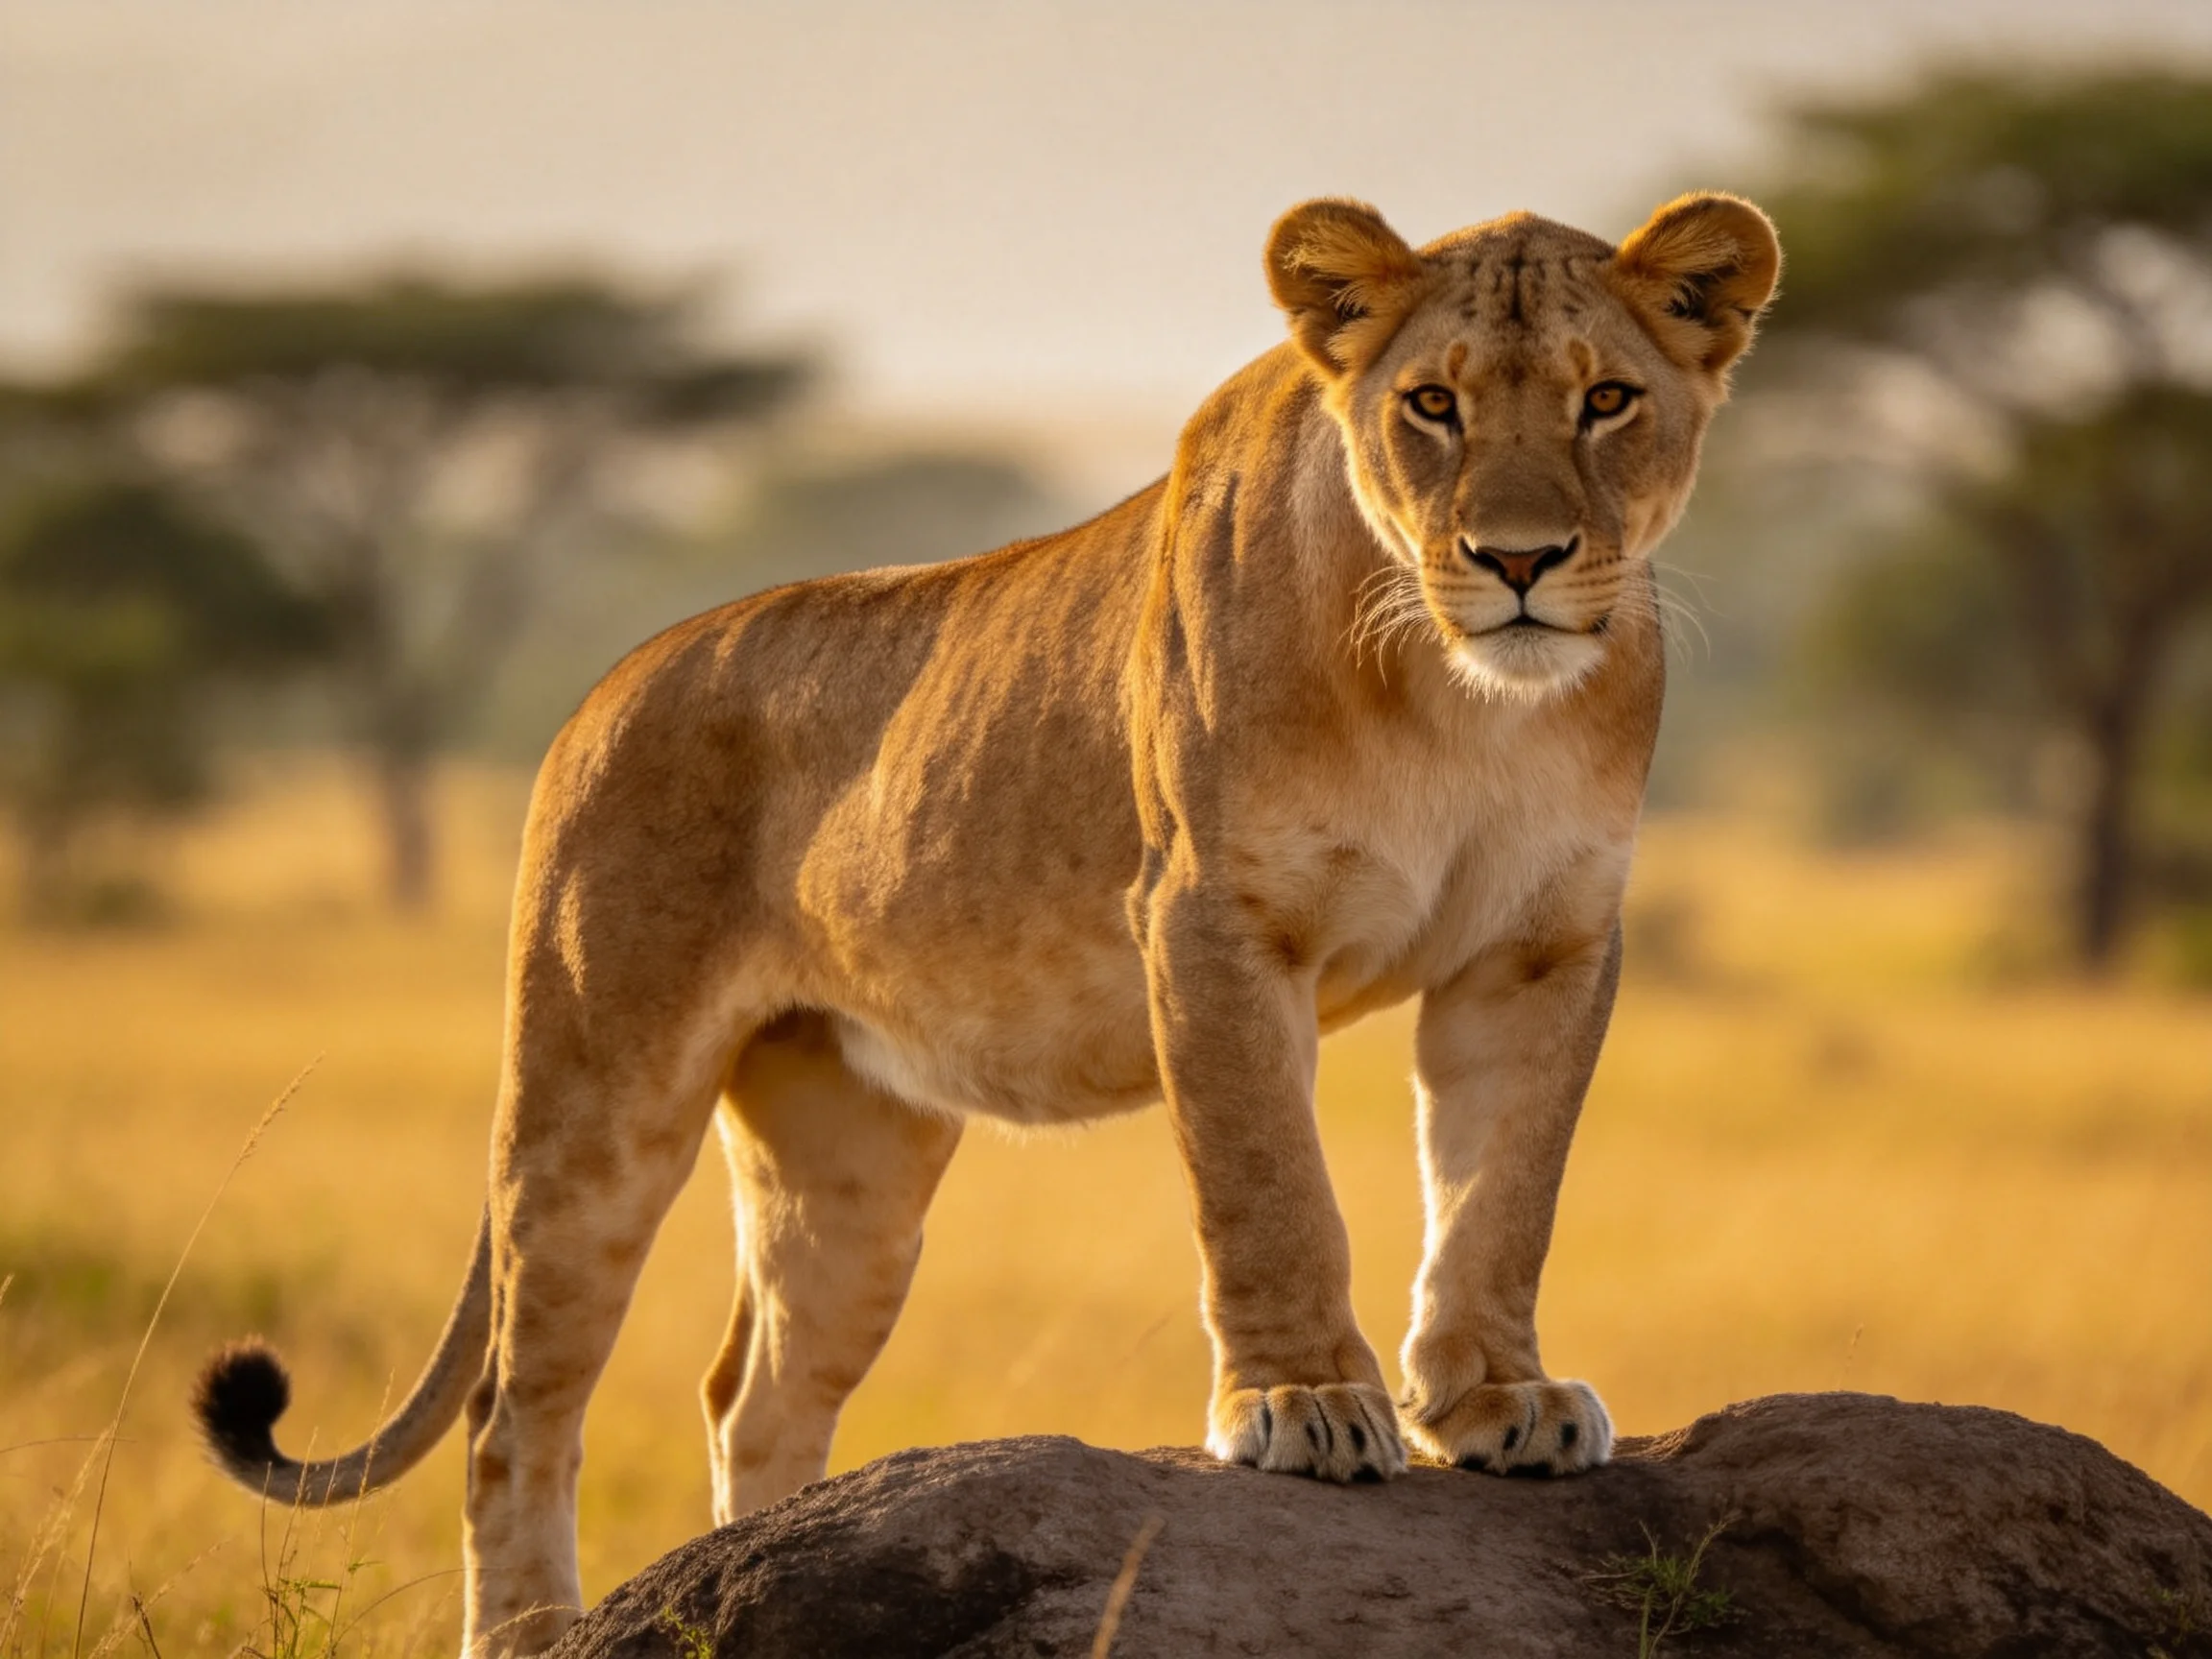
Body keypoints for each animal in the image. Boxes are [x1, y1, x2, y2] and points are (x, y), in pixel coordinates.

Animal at [191, 191, 1779, 1656]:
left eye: (1608, 399)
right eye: (1431, 406)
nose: (1519, 561)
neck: (1463, 699)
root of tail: (603, 687)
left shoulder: (1546, 942)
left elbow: (1505, 1192)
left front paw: (1498, 1399)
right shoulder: (1210, 917)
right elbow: (1271, 1183)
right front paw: (1305, 1402)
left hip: (851, 1156)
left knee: (756, 1391)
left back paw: (768, 1572)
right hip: (593, 1098)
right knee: (515, 1413)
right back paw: (542, 1628)